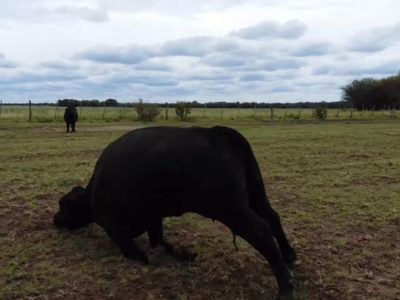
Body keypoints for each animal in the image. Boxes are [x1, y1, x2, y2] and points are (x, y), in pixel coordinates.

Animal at [54, 125, 296, 298]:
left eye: (64, 205)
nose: (55, 219)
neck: (92, 194)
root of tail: (217, 132)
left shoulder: (115, 226)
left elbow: (134, 251)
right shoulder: (153, 217)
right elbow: (159, 241)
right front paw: (182, 253)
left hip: (231, 209)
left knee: (261, 230)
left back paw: (285, 286)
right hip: (256, 194)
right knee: (272, 217)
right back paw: (289, 256)